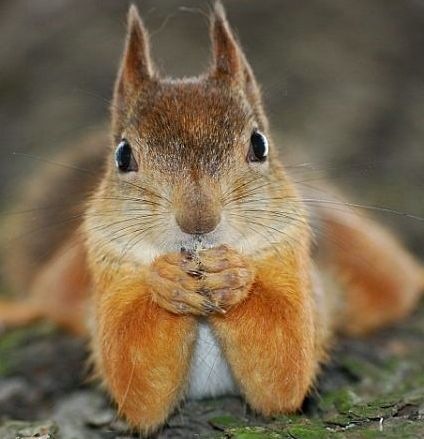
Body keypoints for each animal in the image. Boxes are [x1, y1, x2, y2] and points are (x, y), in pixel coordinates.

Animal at [1, 2, 423, 435]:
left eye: (259, 144)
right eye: (122, 155)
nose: (198, 220)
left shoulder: (293, 261)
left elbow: (285, 368)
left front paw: (232, 276)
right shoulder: (110, 268)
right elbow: (135, 380)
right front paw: (167, 281)